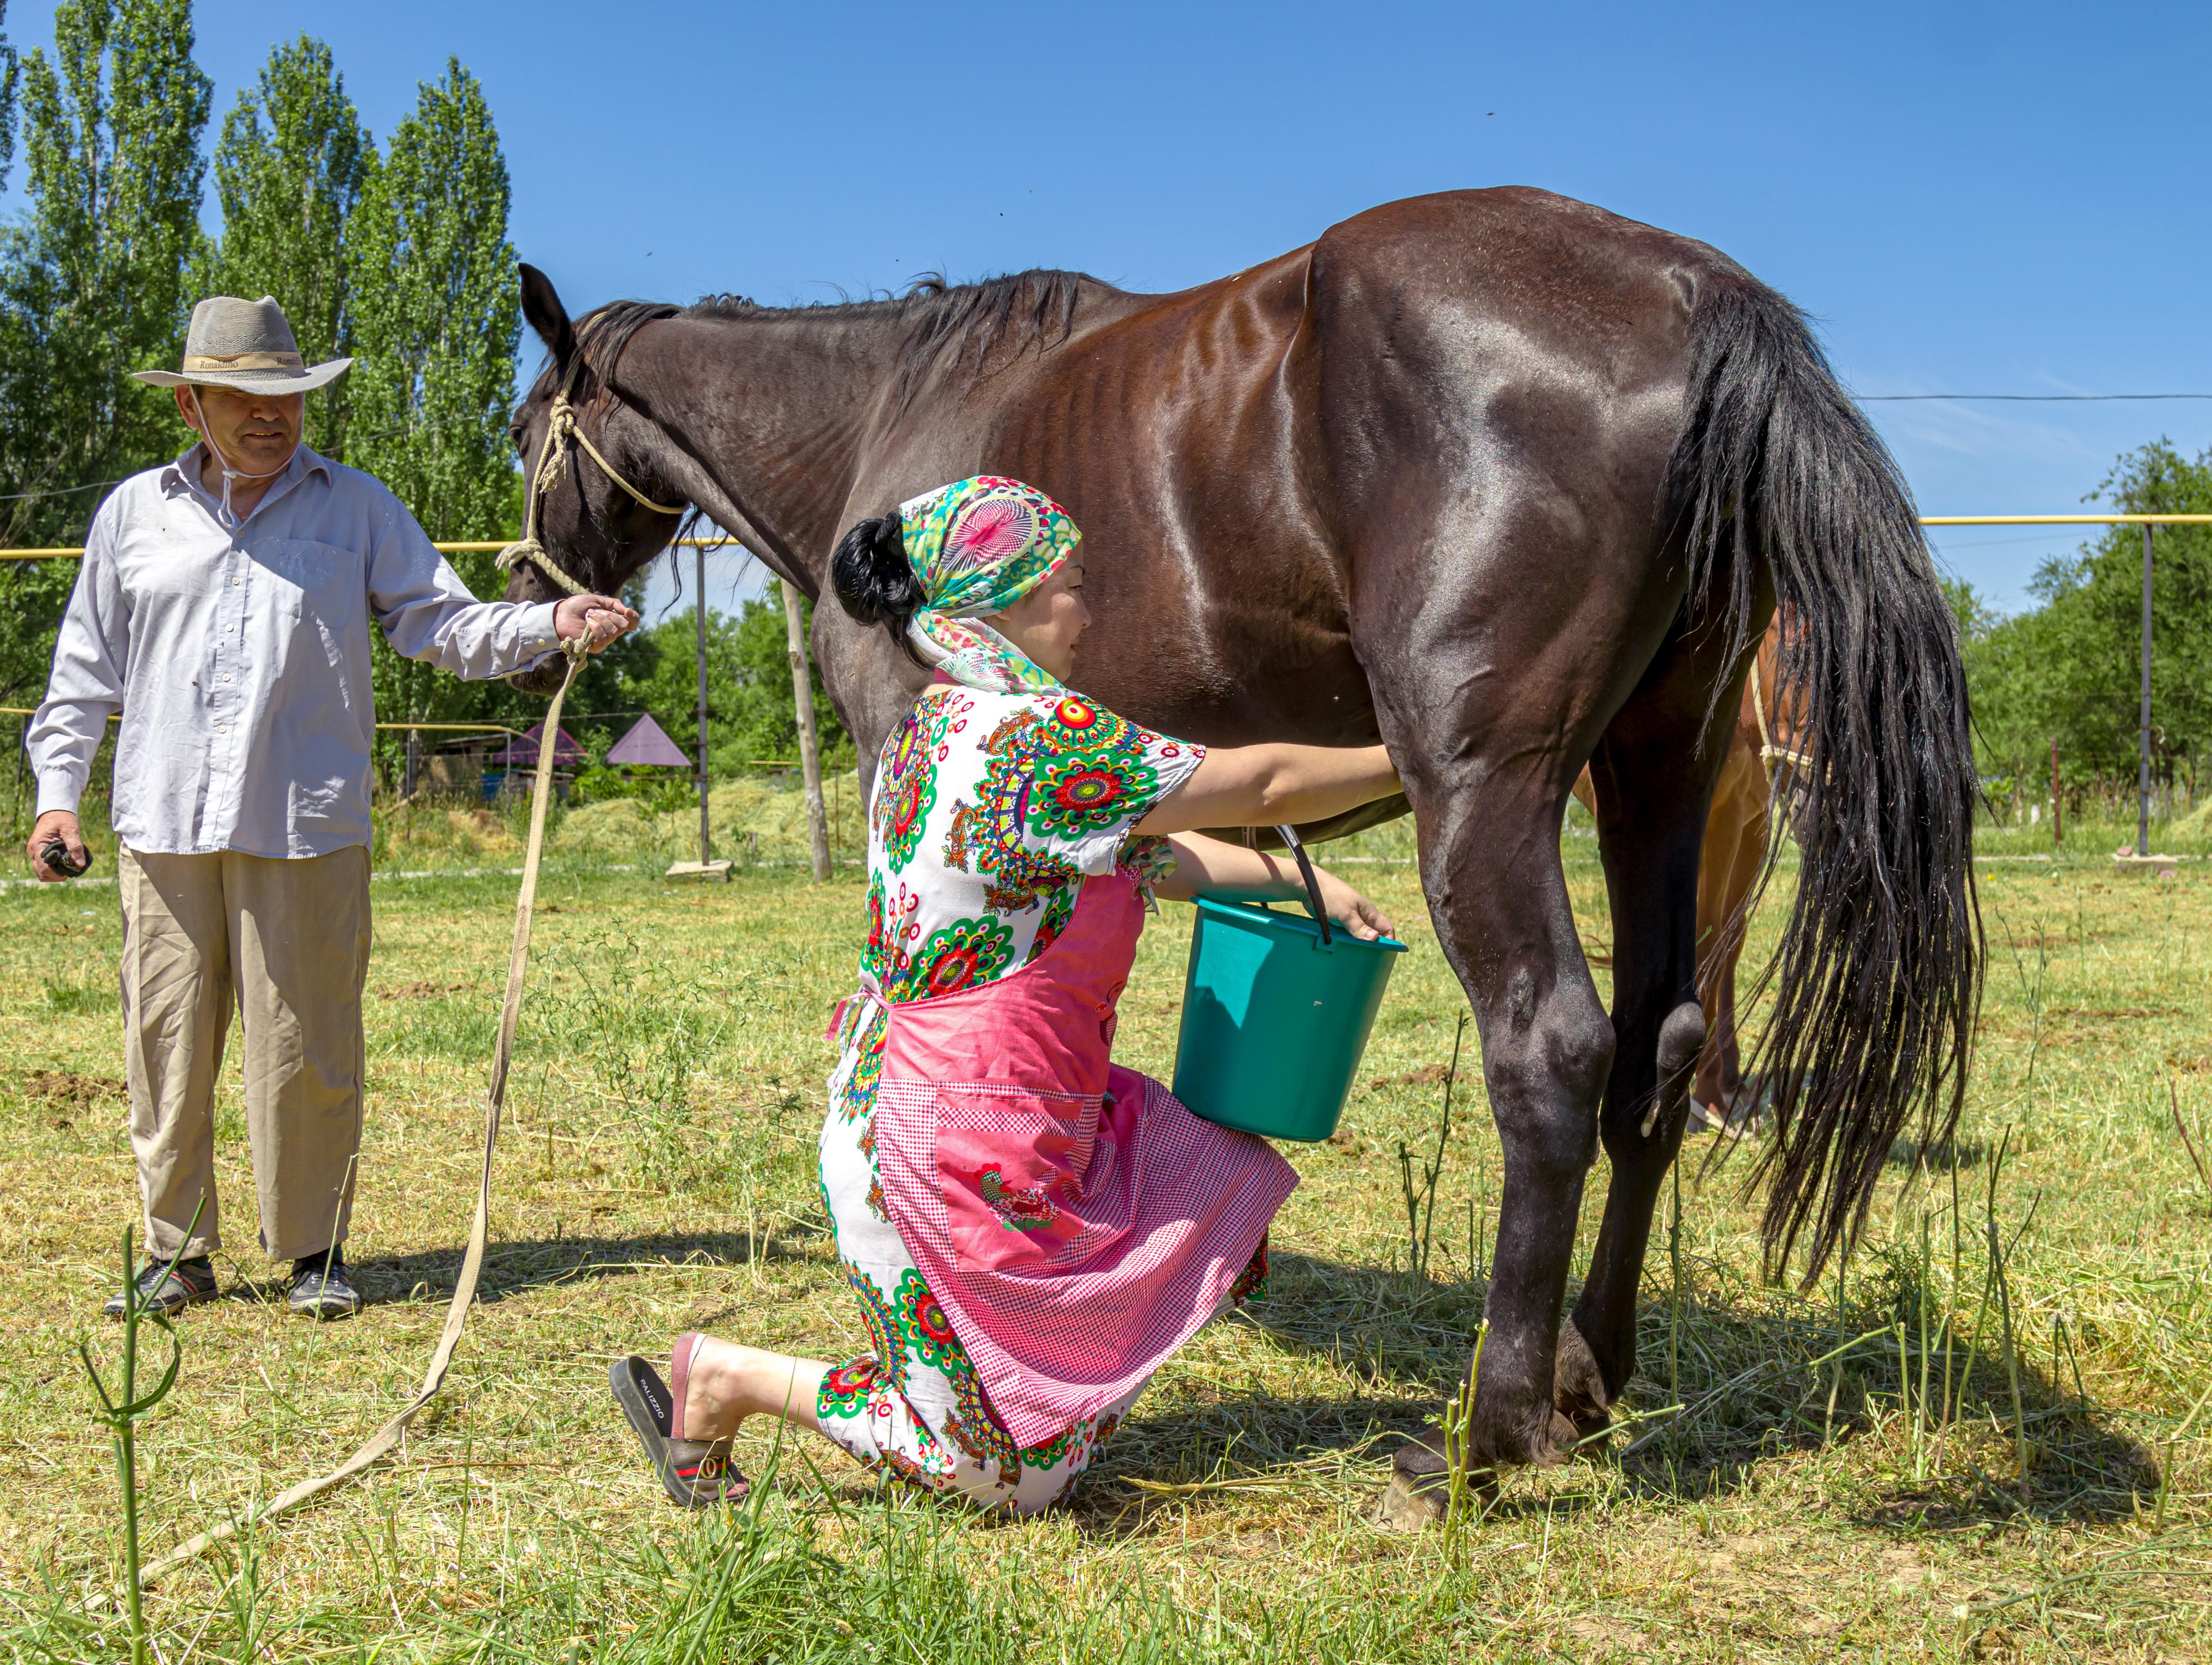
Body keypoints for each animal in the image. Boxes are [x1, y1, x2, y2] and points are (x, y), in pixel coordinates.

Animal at [506, 188, 1990, 1503]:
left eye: (526, 432)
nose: (532, 598)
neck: (881, 414)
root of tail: (1690, 293)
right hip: (1656, 771)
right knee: (1657, 1049)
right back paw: (1585, 1379)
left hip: (1495, 793)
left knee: (1552, 1055)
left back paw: (1481, 1440)